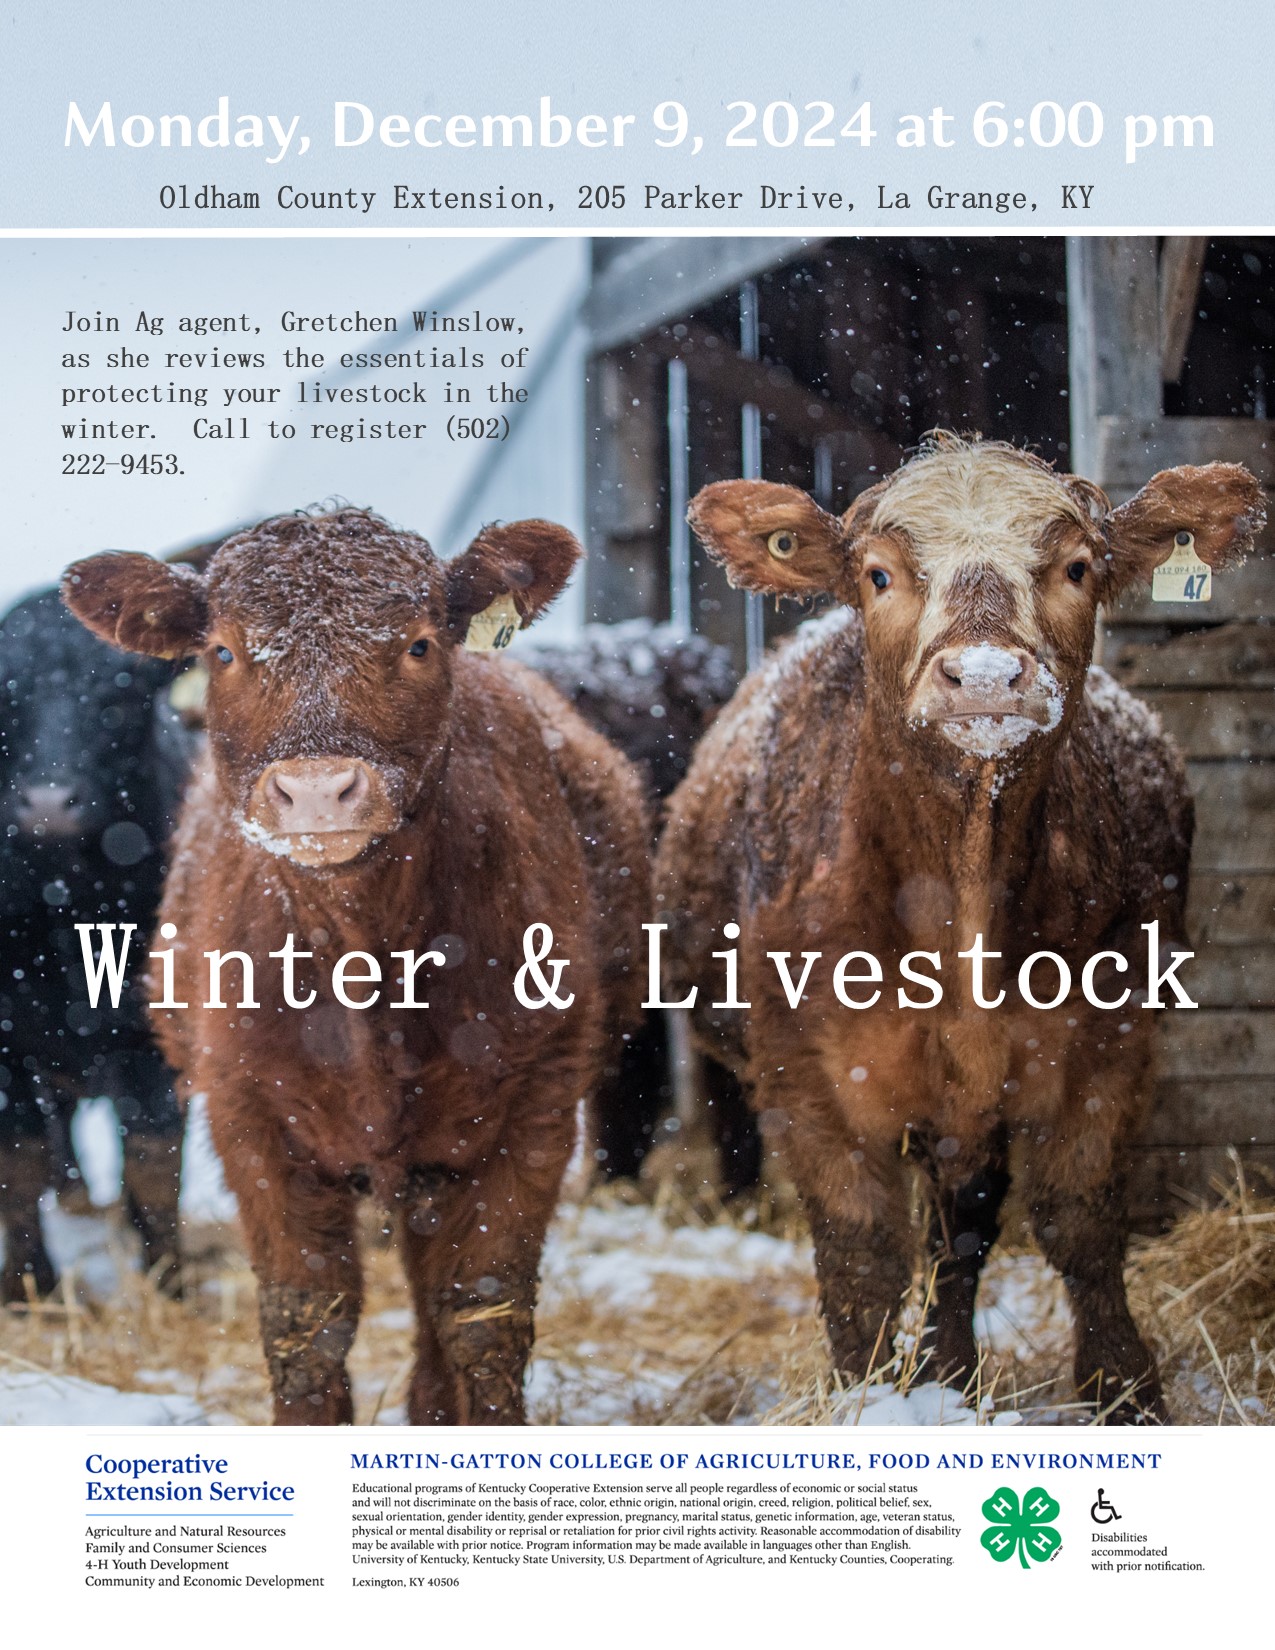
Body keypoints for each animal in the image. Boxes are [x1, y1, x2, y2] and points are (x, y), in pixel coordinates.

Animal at [0, 590, 190, 1300]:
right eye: (7, 692)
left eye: (119, 691)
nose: (48, 803)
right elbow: (18, 1166)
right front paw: (29, 1290)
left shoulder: (150, 1032)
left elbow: (154, 1159)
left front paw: (171, 1286)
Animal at [64, 508, 653, 1425]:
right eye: (224, 651)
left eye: (417, 644)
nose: (316, 791)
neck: (361, 948)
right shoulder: (246, 1114)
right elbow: (308, 1322)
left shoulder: (537, 1104)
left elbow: (481, 1312)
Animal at [656, 435, 1260, 1419]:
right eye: (876, 573)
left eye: (1076, 567)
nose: (981, 676)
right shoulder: (808, 1077)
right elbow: (860, 1253)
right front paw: (861, 1402)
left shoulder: (1111, 1044)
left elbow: (1081, 1223)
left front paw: (1124, 1388)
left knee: (964, 1222)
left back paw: (950, 1369)